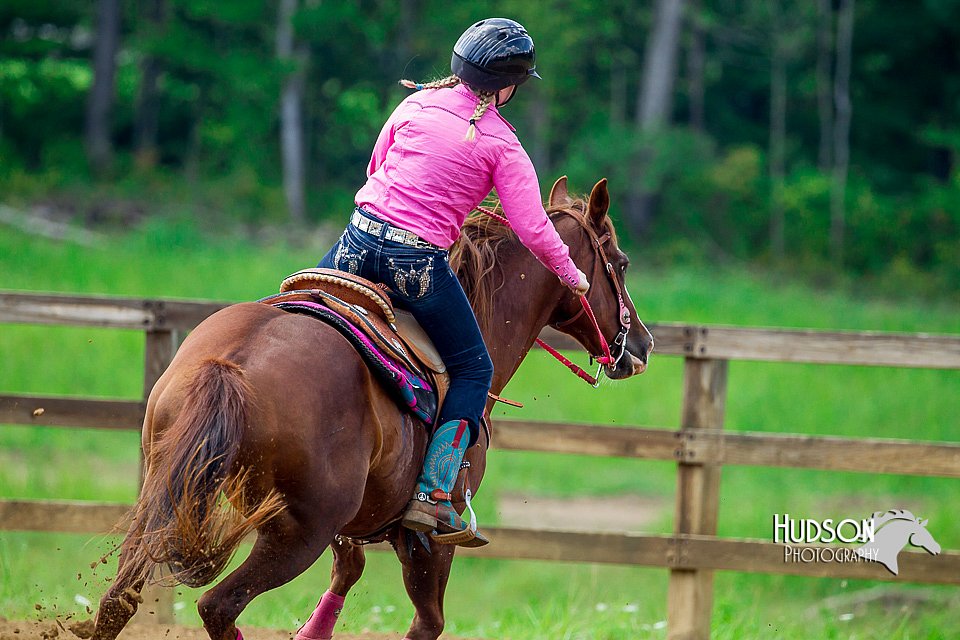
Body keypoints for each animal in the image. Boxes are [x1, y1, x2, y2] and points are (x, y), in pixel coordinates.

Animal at [92, 178, 652, 640]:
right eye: (621, 263)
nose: (642, 345)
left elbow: (349, 571)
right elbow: (427, 622)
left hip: (165, 496)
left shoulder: (355, 524)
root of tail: (230, 365)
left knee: (120, 600)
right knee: (218, 607)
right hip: (297, 531)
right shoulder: (428, 540)